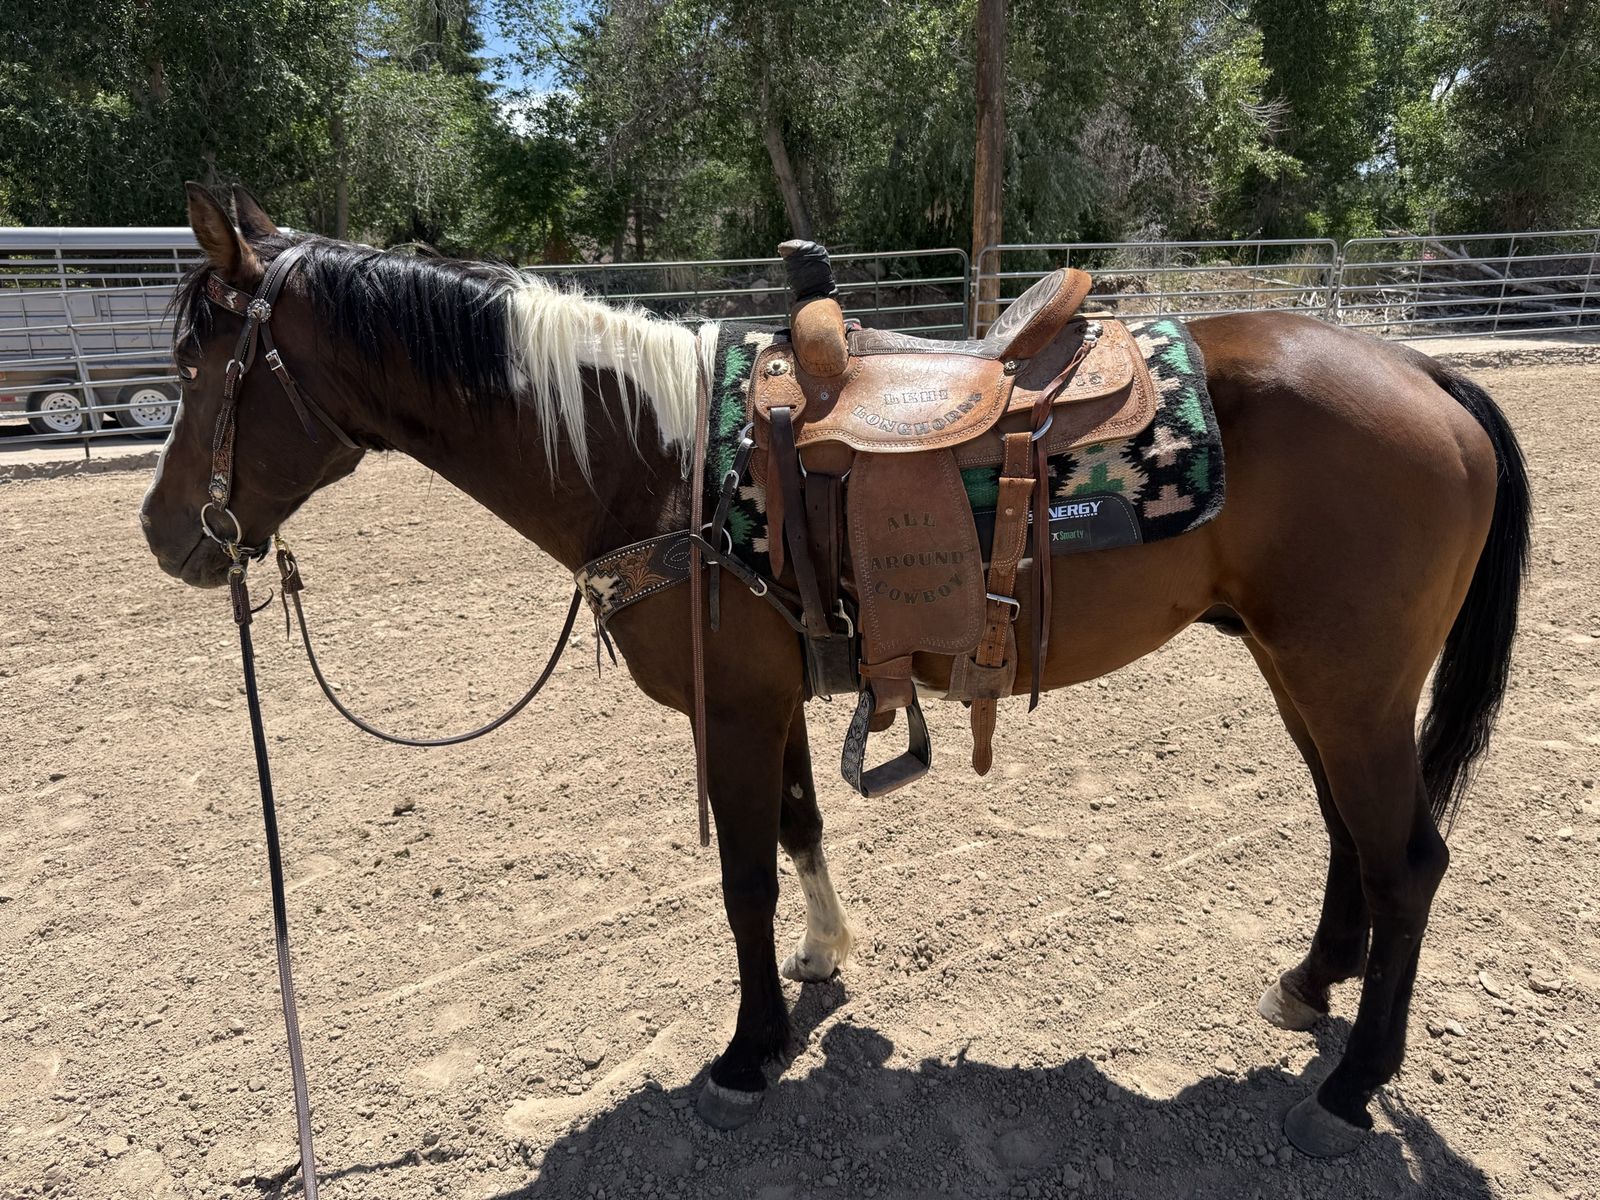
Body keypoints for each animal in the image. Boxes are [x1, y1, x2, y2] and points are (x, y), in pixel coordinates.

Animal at [141, 183, 1530, 1159]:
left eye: (203, 368)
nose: (165, 535)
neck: (657, 456)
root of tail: (1425, 370)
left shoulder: (732, 709)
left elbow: (742, 878)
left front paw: (746, 1056)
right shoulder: (773, 698)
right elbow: (804, 830)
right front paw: (821, 965)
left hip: (1347, 680)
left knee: (1407, 857)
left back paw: (1348, 1090)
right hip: (1308, 676)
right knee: (1349, 833)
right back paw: (1307, 988)